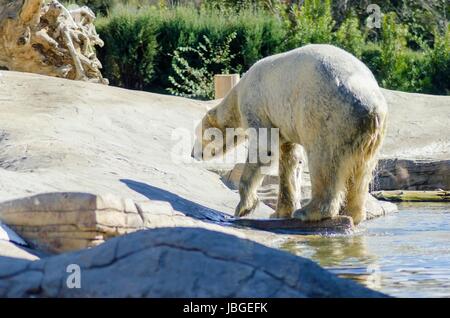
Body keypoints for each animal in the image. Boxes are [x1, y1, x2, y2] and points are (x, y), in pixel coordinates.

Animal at [193, 44, 386, 224]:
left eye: (196, 135)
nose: (193, 154)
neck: (238, 92)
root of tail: (372, 108)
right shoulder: (282, 122)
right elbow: (290, 158)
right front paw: (279, 212)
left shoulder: (256, 105)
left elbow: (264, 150)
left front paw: (243, 208)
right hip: (365, 133)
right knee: (361, 171)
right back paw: (352, 213)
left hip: (328, 114)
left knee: (324, 161)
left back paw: (308, 212)